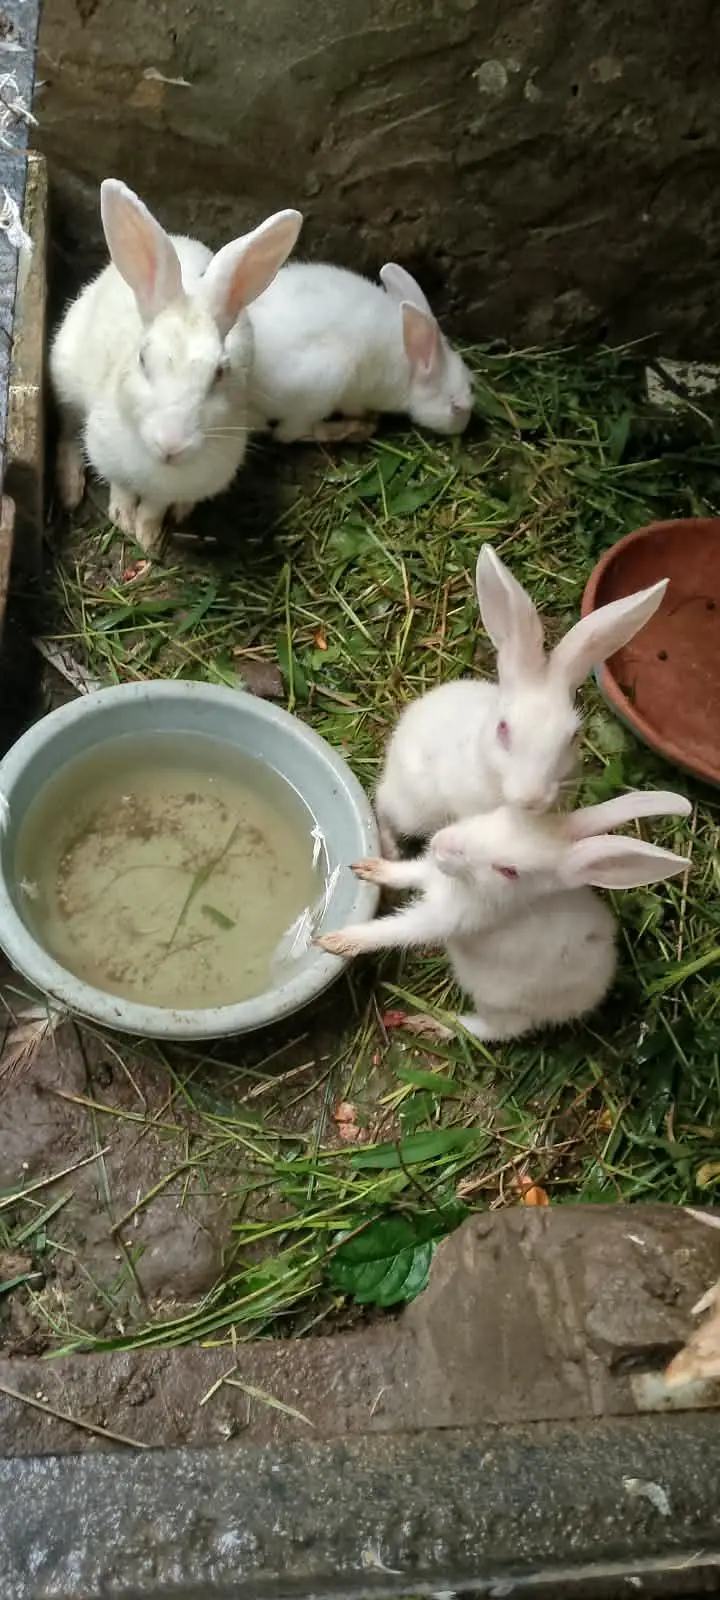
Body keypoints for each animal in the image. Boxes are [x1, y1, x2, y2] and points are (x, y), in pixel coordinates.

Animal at [49, 179, 303, 554]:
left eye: (220, 372)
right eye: (142, 359)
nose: (172, 444)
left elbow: (155, 507)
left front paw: (147, 536)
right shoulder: (109, 456)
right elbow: (120, 488)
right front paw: (122, 519)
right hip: (65, 373)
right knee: (67, 428)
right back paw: (68, 487)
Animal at [244, 260, 474, 444]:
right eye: (455, 407)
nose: (463, 427)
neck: (409, 368)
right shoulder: (356, 395)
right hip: (325, 383)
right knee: (289, 433)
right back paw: (352, 430)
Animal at [317, 789, 691, 1043]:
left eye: (509, 871)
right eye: (501, 813)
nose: (442, 843)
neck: (461, 885)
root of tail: (593, 995)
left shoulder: (442, 919)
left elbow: (393, 931)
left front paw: (336, 941)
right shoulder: (428, 875)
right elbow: (405, 873)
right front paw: (370, 869)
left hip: (501, 1003)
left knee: (498, 1030)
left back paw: (432, 1023)